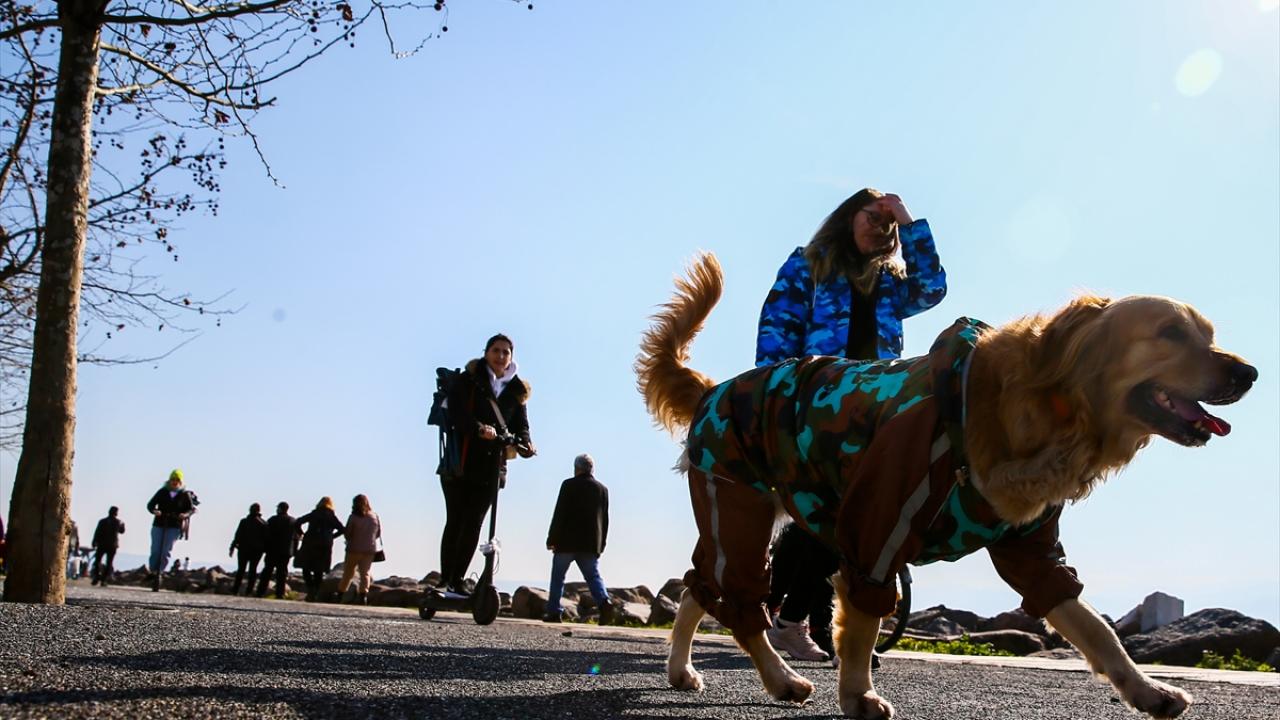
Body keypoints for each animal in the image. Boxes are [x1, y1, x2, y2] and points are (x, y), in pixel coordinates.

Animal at [635, 252, 1256, 719]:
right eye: (1170, 333)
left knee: (697, 587)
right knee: (738, 605)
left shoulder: (1032, 548)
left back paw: (682, 671)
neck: (1049, 409)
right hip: (737, 508)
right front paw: (858, 695)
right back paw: (781, 680)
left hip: (742, 517)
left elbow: (1094, 628)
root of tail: (714, 389)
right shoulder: (876, 524)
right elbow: (863, 622)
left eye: (1209, 334)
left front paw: (1147, 691)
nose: (1248, 374)